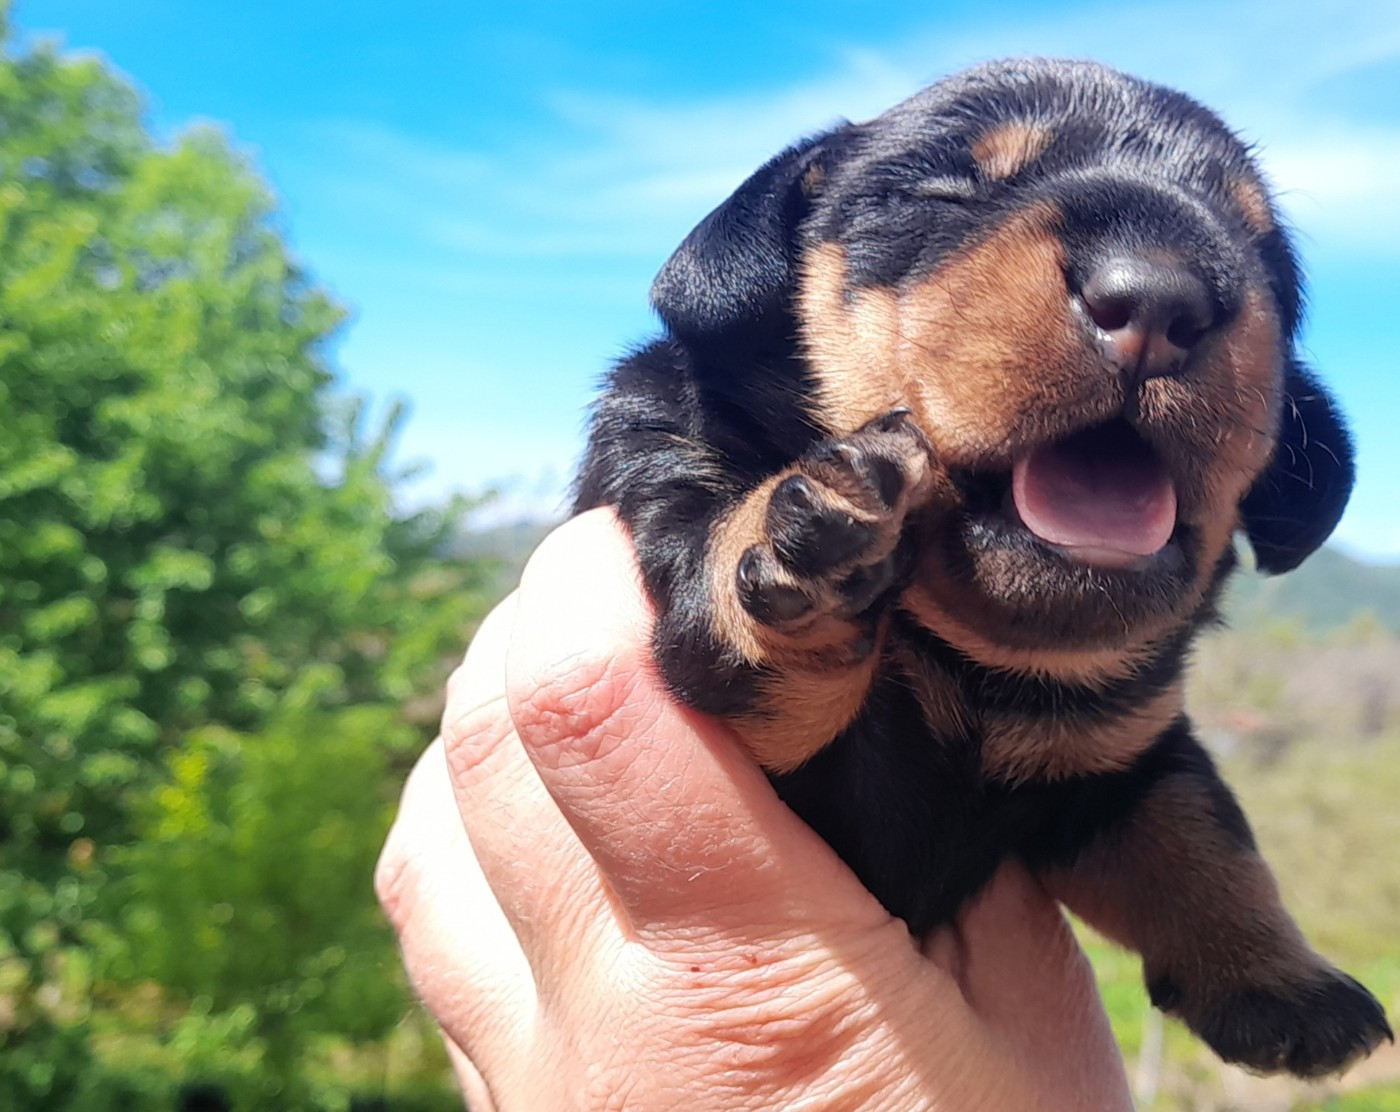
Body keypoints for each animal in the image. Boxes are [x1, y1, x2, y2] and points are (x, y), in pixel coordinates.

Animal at [573, 57, 1391, 1077]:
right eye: (946, 191)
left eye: (1266, 260)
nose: (1160, 298)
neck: (977, 668)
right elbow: (749, 629)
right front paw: (810, 546)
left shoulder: (1120, 752)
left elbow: (1201, 827)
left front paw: (1284, 978)